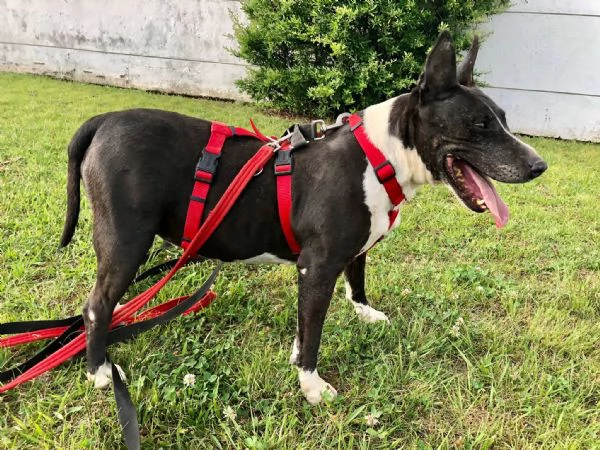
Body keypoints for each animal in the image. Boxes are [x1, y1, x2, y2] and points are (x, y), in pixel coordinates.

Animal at [61, 32, 548, 404]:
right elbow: (314, 332)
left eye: (503, 119)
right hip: (127, 240)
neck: (382, 155)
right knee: (95, 305)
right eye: (480, 125)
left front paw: (361, 315)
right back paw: (99, 370)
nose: (538, 166)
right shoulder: (318, 267)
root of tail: (103, 120)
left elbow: (349, 285)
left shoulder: (342, 257)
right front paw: (311, 384)